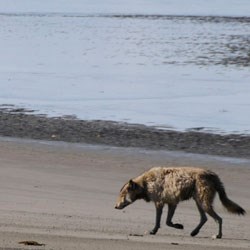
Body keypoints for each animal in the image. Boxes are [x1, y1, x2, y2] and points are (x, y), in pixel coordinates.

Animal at [115, 167, 246, 237]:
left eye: (122, 196)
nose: (115, 206)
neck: (145, 184)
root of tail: (213, 174)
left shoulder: (160, 203)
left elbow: (160, 221)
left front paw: (154, 231)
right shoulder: (172, 203)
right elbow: (167, 222)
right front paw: (178, 226)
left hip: (204, 203)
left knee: (219, 219)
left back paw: (218, 235)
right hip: (199, 203)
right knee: (204, 218)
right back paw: (194, 232)